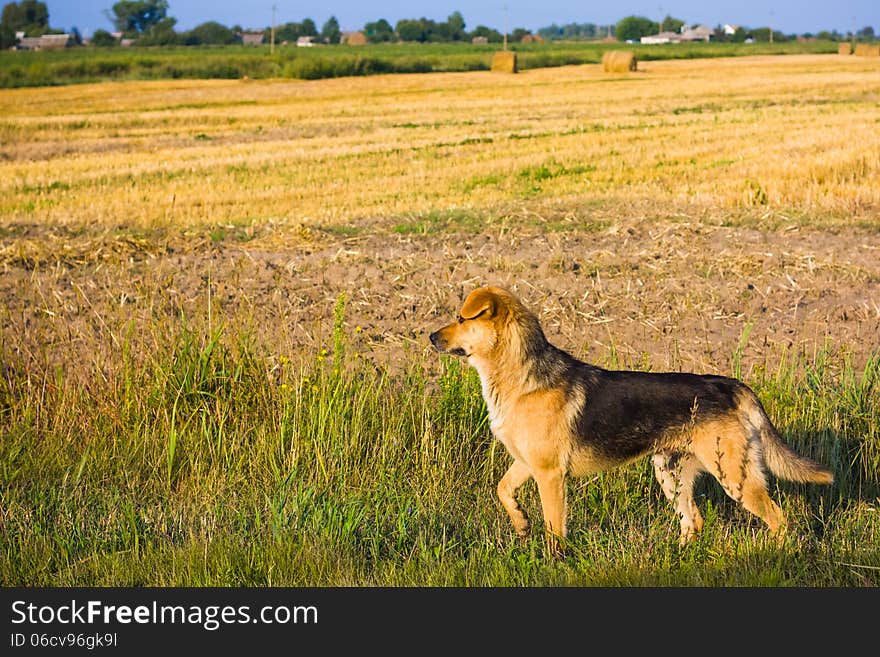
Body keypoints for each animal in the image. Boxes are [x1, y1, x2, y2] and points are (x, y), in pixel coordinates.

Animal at [430, 284, 836, 552]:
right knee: (694, 520)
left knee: (777, 518)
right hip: (670, 475)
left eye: (461, 318)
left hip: (734, 477)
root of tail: (728, 385)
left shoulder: (549, 473)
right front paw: (521, 523)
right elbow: (504, 490)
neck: (520, 376)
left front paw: (554, 559)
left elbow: (554, 527)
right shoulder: (527, 463)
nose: (431, 336)